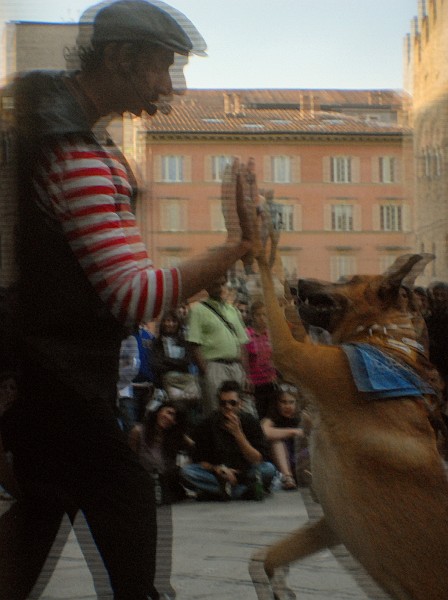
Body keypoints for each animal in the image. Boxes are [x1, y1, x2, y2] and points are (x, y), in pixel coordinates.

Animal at [250, 252, 448, 600]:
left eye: (347, 279)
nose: (298, 283)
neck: (381, 338)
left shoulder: (294, 353)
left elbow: (267, 275)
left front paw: (263, 249)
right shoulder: (333, 524)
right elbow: (269, 558)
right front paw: (277, 586)